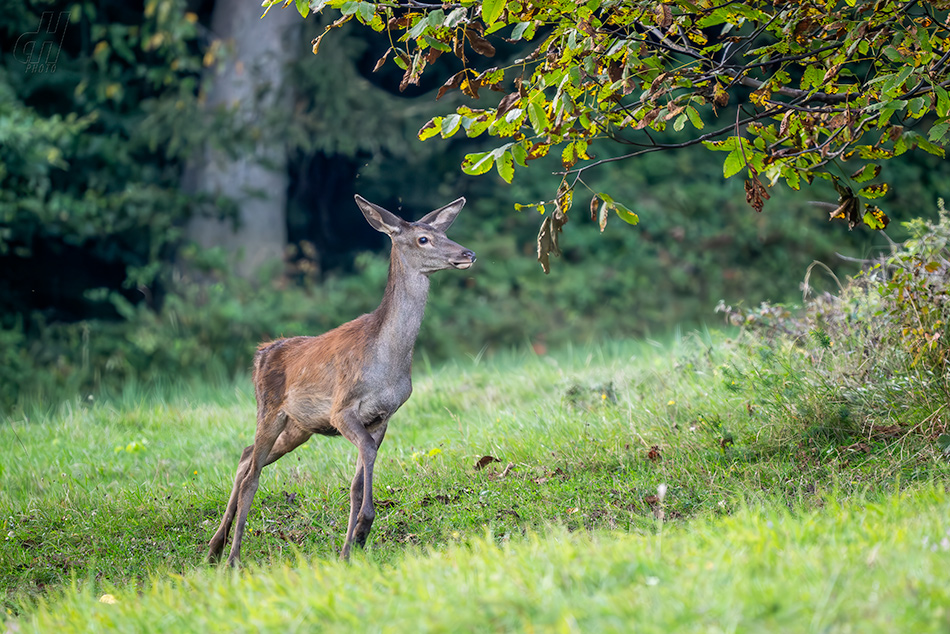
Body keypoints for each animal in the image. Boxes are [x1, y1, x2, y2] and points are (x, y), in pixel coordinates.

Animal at [208, 193, 476, 564]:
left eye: (444, 233)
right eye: (423, 239)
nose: (467, 254)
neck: (387, 362)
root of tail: (261, 353)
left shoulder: (382, 416)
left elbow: (357, 482)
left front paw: (350, 547)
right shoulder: (342, 408)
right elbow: (364, 460)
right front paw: (362, 529)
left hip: (299, 426)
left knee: (246, 456)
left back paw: (214, 548)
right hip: (270, 409)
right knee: (252, 476)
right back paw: (232, 557)